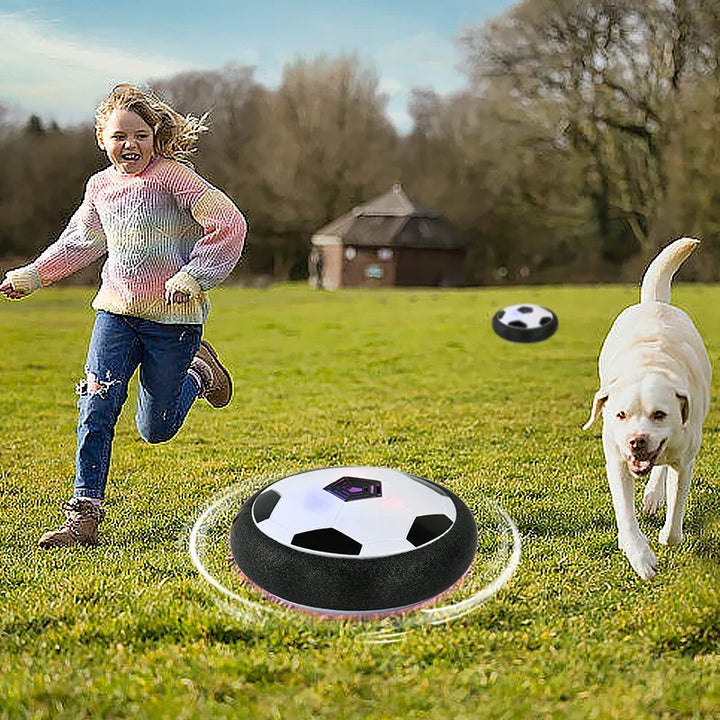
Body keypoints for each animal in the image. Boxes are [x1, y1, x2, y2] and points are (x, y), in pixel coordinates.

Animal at [584, 239, 708, 584]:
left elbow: (676, 510)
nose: (636, 441)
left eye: (659, 415)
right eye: (620, 415)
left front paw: (667, 535)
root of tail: (655, 302)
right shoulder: (616, 459)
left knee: (662, 471)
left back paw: (654, 495)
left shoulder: (684, 458)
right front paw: (640, 555)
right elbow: (625, 515)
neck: (650, 363)